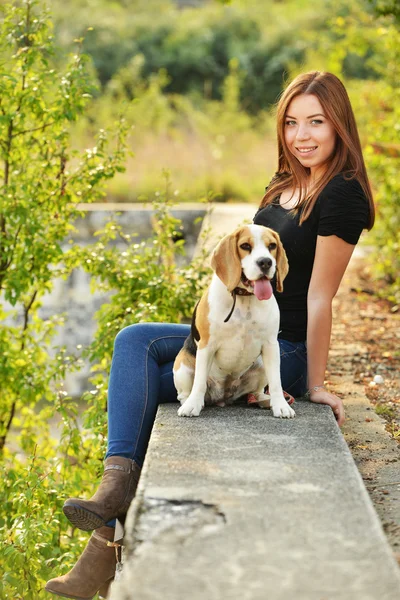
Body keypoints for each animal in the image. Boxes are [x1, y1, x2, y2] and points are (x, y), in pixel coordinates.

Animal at [173, 223, 296, 420]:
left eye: (272, 246)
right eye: (245, 246)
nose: (266, 262)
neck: (243, 298)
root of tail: (223, 397)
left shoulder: (271, 345)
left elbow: (276, 382)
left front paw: (281, 405)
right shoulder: (207, 345)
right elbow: (199, 381)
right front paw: (192, 406)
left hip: (261, 365)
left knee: (255, 392)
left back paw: (263, 400)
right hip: (182, 366)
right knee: (186, 392)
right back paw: (191, 402)